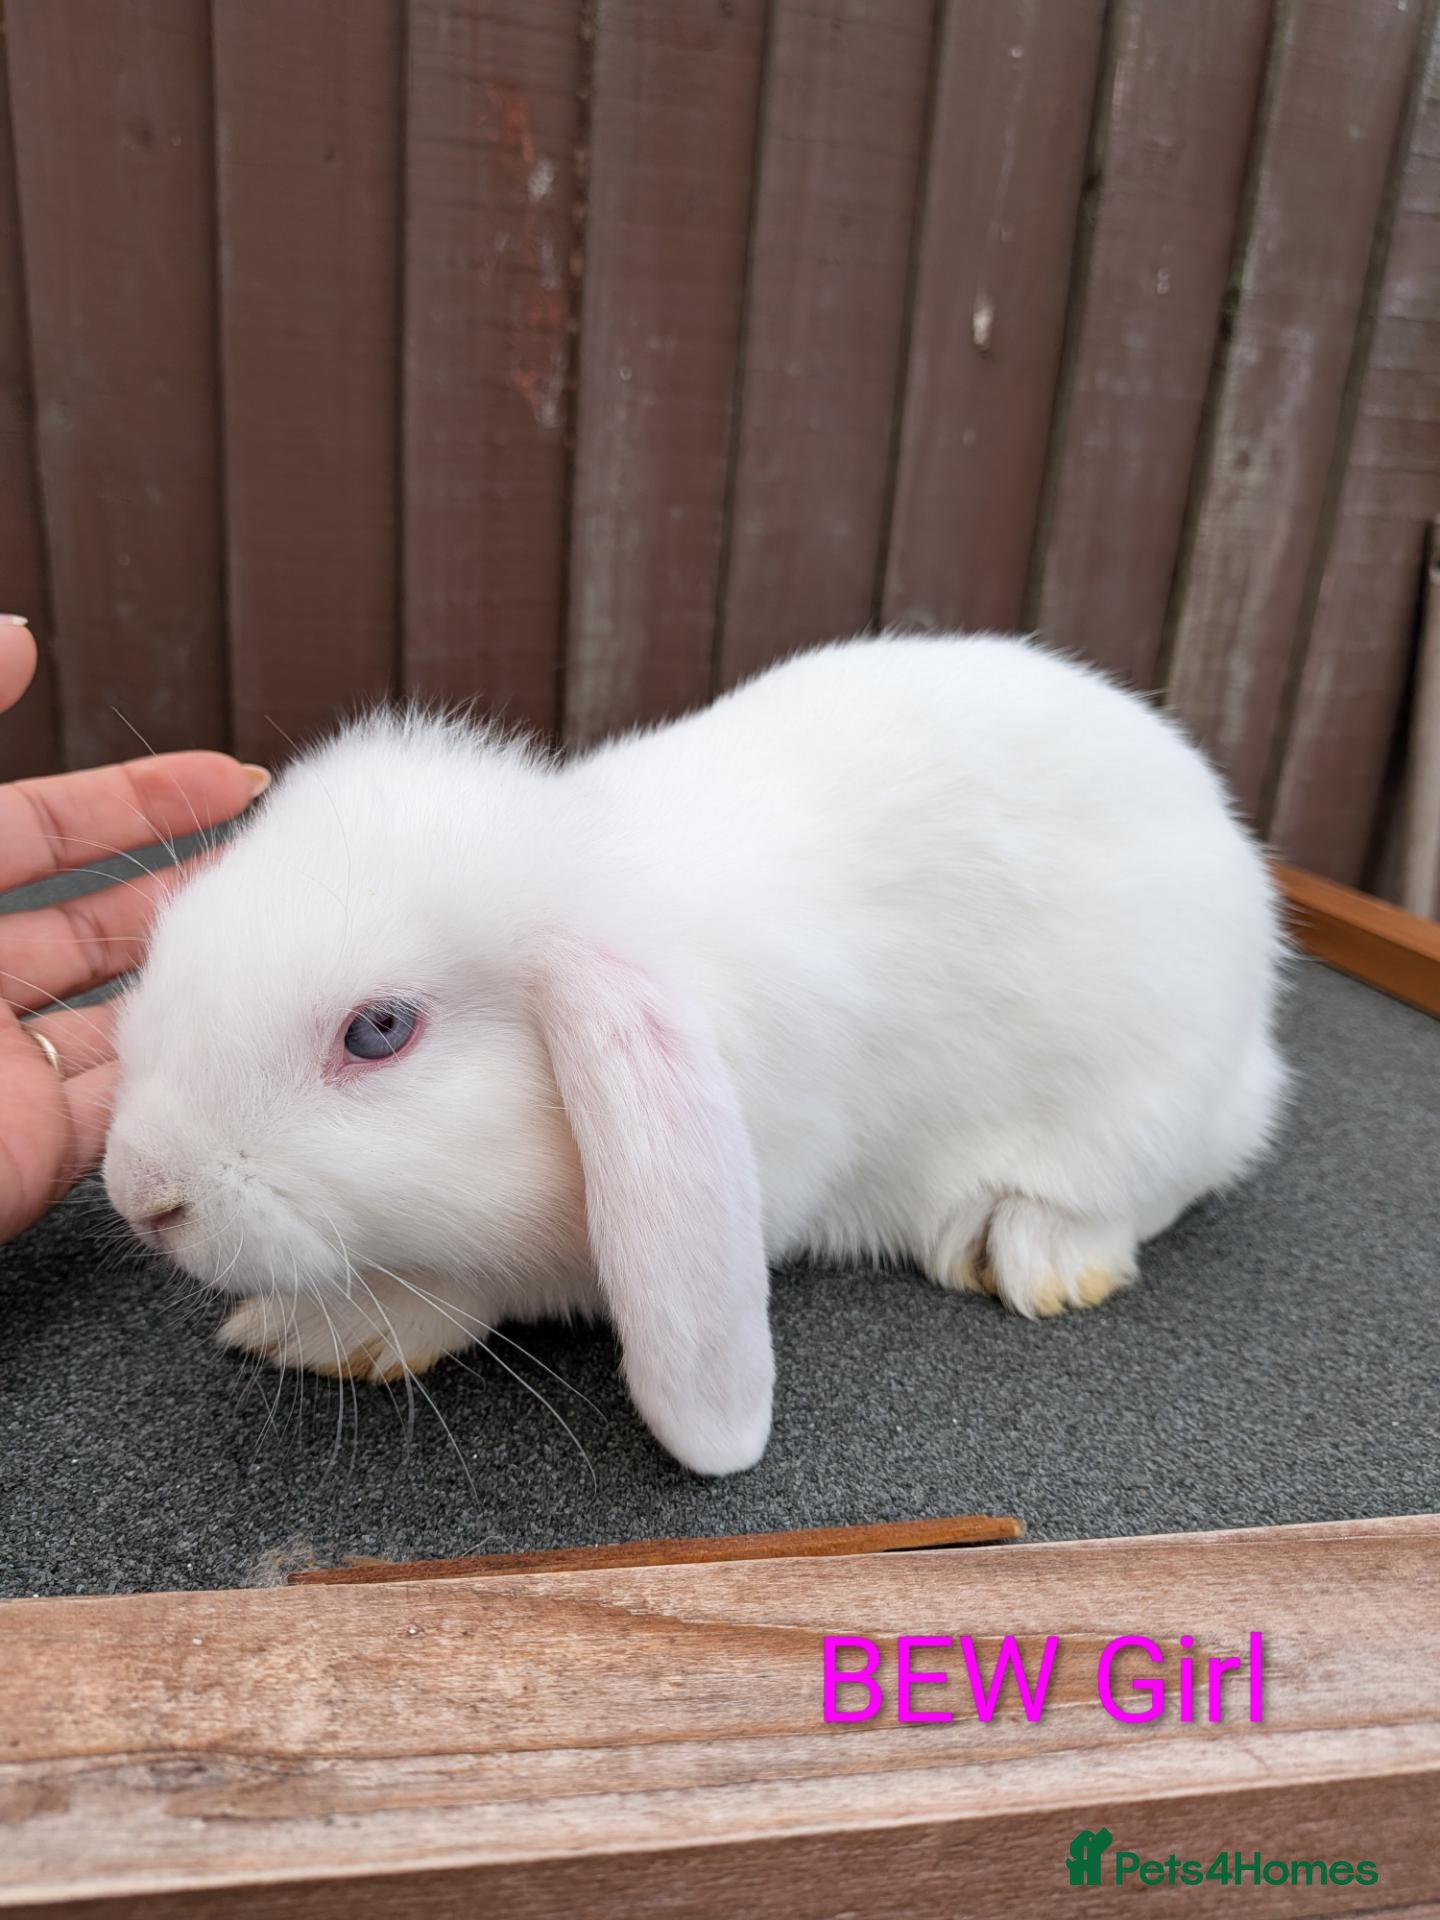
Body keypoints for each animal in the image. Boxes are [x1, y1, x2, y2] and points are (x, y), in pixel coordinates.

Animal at [103, 635, 1286, 1475]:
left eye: (379, 1031)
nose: (139, 1194)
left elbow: (467, 1287)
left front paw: (343, 1331)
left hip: (1148, 1098)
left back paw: (1031, 1251)